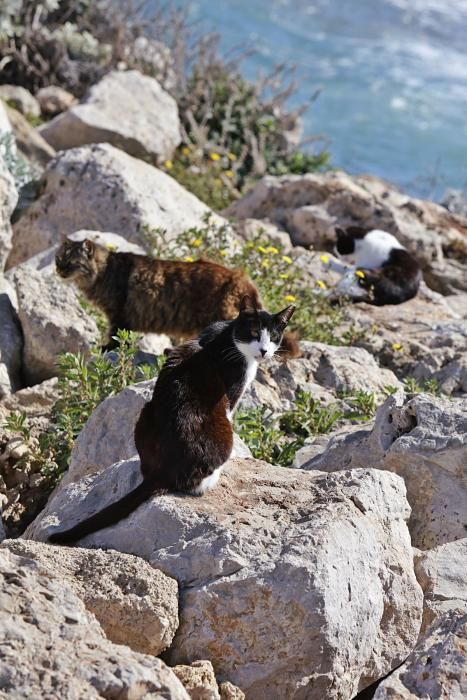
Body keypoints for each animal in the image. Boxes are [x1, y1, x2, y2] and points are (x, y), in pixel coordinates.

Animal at [49, 298, 294, 544]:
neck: (228, 336)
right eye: (253, 333)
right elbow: (232, 410)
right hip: (221, 430)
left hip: (145, 413)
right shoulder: (233, 389)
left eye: (274, 336)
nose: (264, 351)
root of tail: (163, 472)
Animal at [54, 238, 300, 356]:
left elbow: (115, 336)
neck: (105, 271)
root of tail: (241, 277)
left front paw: (107, 348)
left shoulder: (119, 315)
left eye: (72, 262)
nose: (59, 270)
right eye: (58, 259)